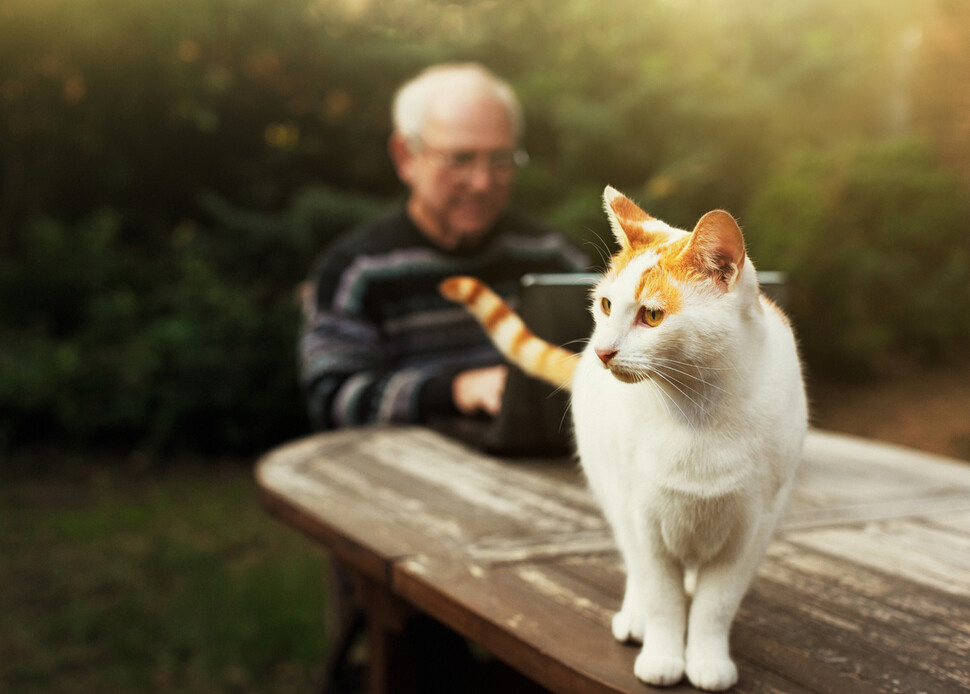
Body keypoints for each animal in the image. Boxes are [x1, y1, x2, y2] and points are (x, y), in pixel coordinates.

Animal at [438, 188, 800, 692]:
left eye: (653, 315)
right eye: (607, 305)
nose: (601, 351)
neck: (698, 410)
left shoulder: (751, 532)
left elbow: (715, 606)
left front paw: (706, 660)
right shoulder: (647, 521)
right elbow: (664, 599)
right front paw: (664, 656)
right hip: (614, 494)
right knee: (635, 565)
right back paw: (636, 617)